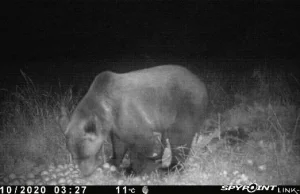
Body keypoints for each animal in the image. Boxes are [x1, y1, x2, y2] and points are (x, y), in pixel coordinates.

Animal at [59, 64, 207, 177]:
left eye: (87, 155)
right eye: (74, 156)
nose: (86, 173)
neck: (106, 108)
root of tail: (200, 82)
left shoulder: (127, 112)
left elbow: (143, 142)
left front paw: (132, 169)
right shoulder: (116, 124)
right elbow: (119, 143)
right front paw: (113, 162)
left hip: (184, 105)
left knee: (180, 136)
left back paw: (171, 167)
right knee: (166, 136)